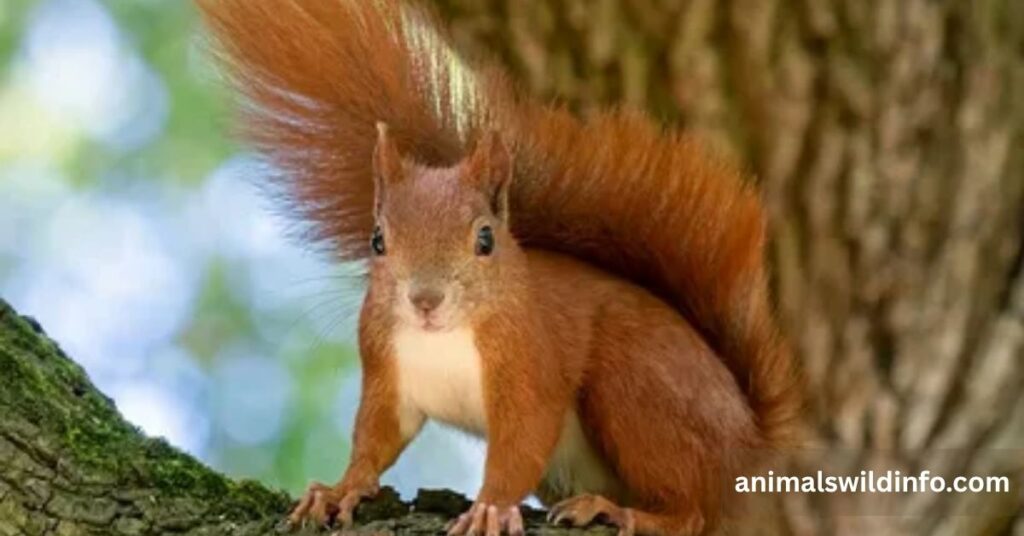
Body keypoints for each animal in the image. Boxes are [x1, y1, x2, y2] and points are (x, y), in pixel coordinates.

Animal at [197, 0, 802, 534]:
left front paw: (489, 508)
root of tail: (748, 447)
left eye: (485, 239)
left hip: (637, 391)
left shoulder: (531, 362)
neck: (442, 338)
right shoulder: (387, 370)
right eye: (377, 241)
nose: (425, 300)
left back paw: (619, 511)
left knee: (693, 512)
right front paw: (340, 489)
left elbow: (521, 441)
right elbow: (376, 436)